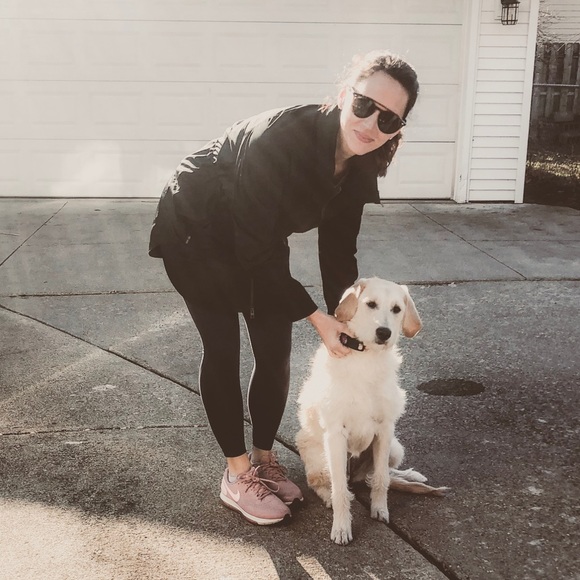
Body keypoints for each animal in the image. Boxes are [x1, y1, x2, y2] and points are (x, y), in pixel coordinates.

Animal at [296, 278, 447, 545]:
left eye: (397, 309)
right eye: (370, 304)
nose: (384, 333)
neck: (366, 359)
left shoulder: (385, 429)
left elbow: (381, 479)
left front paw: (380, 509)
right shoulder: (335, 435)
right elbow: (339, 490)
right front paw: (342, 526)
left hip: (395, 448)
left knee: (378, 475)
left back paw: (411, 476)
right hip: (319, 454)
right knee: (322, 481)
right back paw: (329, 497)